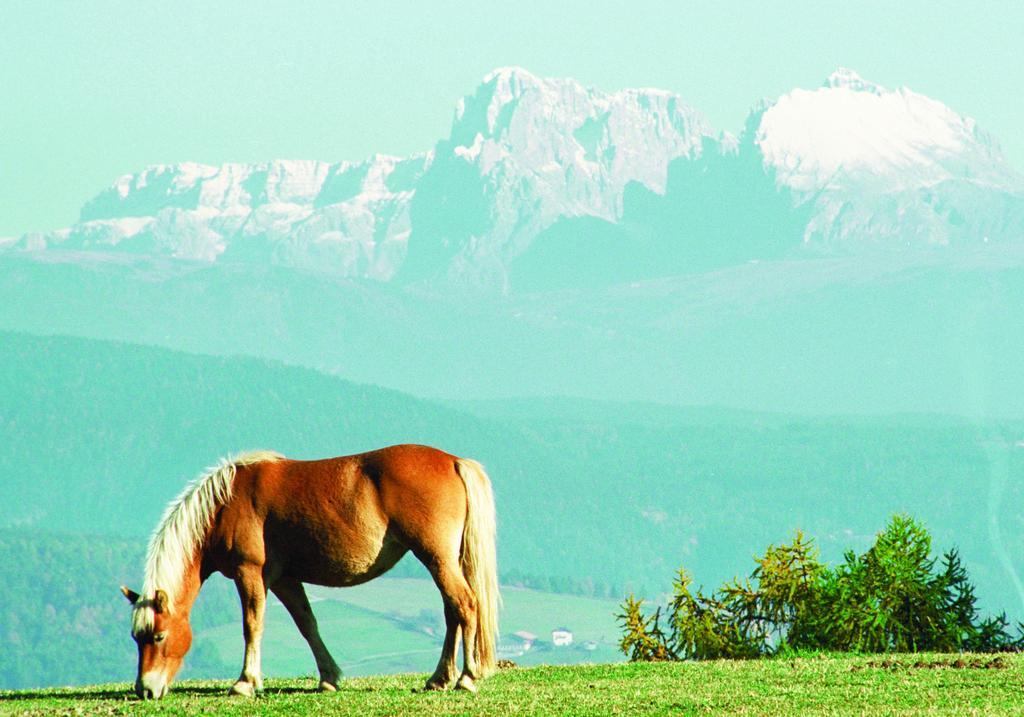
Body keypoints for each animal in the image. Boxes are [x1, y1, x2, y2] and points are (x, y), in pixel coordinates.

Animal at [119, 442, 499, 700]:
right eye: (137, 638)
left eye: (158, 636)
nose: (145, 690)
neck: (226, 503)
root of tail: (453, 461)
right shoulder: (285, 580)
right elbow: (308, 625)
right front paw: (329, 677)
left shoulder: (249, 573)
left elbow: (252, 625)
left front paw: (245, 682)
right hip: (442, 560)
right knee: (452, 611)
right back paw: (439, 677)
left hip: (436, 558)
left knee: (465, 605)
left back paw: (466, 677)